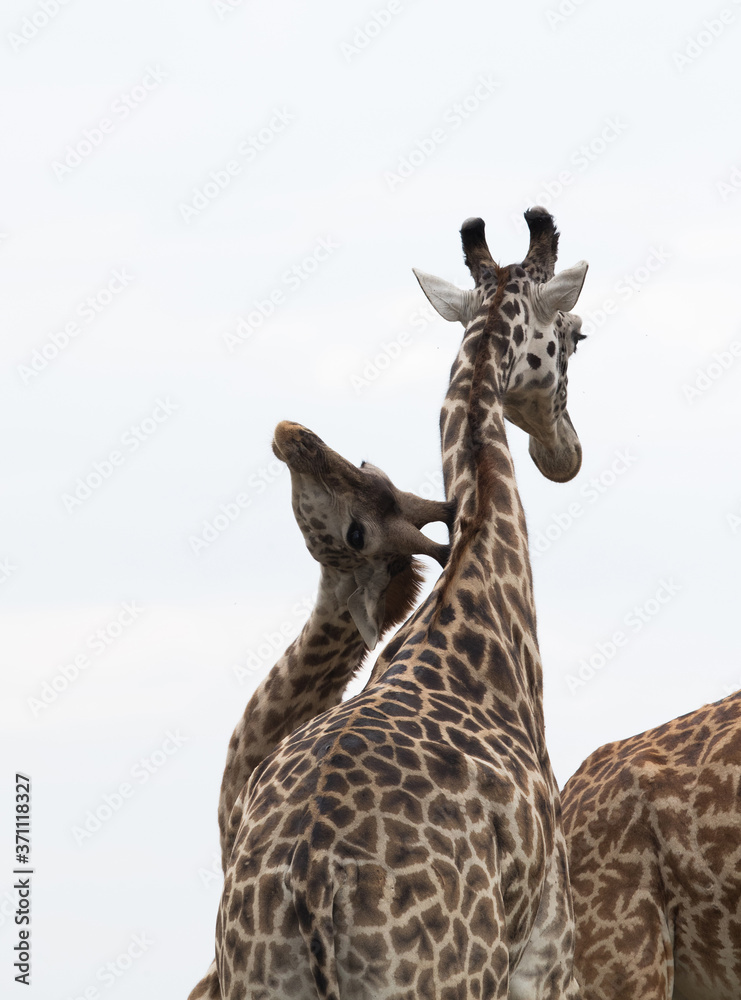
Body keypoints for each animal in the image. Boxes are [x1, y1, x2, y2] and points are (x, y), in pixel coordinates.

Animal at [215, 207, 589, 1000]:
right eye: (576, 334)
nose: (562, 454)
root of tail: (308, 885)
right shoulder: (548, 942)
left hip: (253, 974)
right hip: (441, 978)